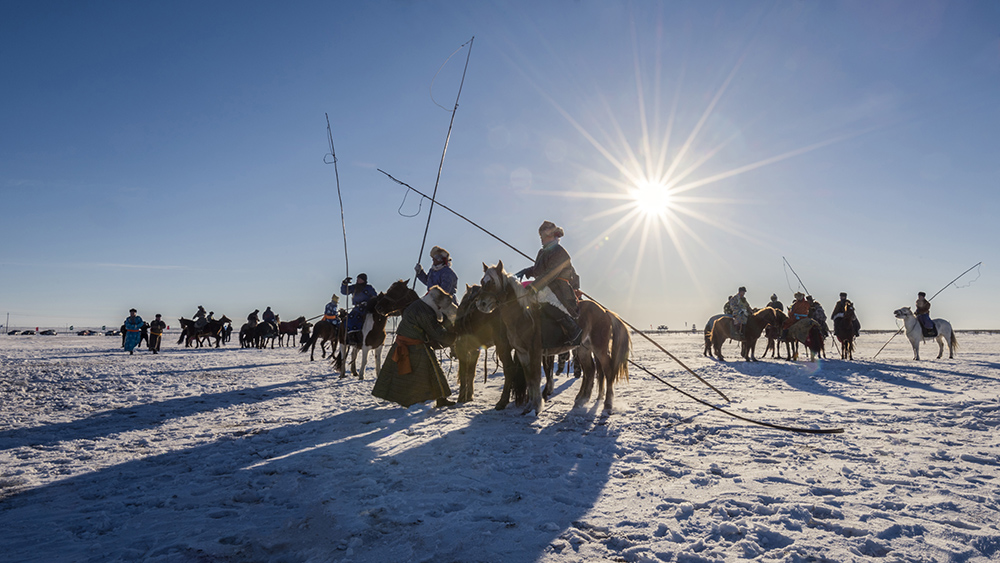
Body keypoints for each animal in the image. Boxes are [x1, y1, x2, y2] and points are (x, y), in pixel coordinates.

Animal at [474, 262, 628, 416]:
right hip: (584, 348)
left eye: (493, 282)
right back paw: (581, 400)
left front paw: (536, 406)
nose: (481, 304)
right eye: (482, 281)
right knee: (590, 371)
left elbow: (535, 377)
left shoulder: (535, 351)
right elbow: (529, 379)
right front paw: (529, 406)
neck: (523, 315)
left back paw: (607, 405)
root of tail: (605, 311)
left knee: (608, 371)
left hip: (599, 348)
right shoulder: (522, 353)